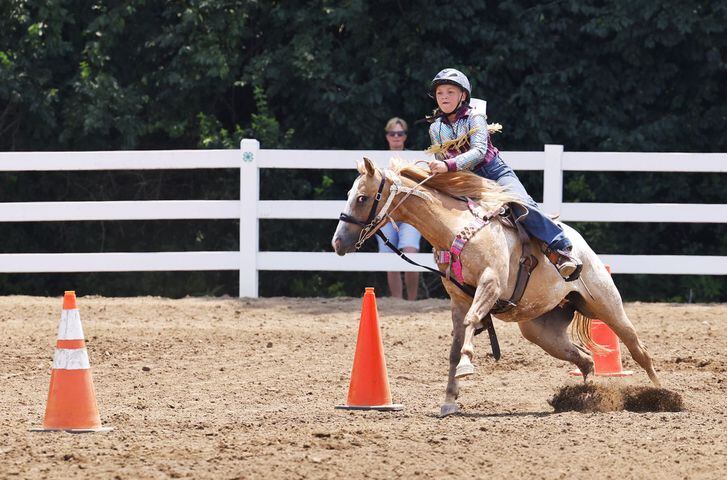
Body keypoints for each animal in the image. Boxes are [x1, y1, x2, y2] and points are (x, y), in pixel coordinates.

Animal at [332, 158, 664, 416]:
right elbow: (454, 344)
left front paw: (467, 365)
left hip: (607, 306)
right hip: (540, 331)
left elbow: (471, 324)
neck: (454, 228)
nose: (337, 242)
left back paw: (662, 396)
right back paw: (587, 398)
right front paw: (449, 400)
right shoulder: (458, 298)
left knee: (639, 350)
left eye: (362, 198)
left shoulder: (489, 284)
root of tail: (580, 245)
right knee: (584, 359)